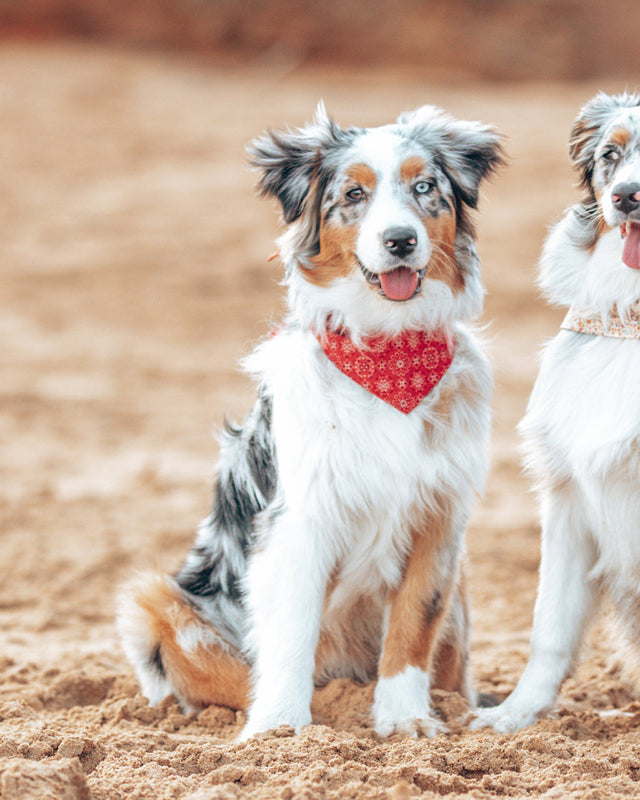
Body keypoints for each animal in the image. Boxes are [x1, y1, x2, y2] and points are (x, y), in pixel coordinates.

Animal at [116, 103, 504, 740]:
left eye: (426, 188)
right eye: (354, 194)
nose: (400, 240)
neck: (387, 348)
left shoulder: (440, 517)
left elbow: (413, 627)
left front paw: (406, 722)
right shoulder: (301, 519)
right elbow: (291, 630)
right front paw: (279, 733)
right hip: (156, 603)